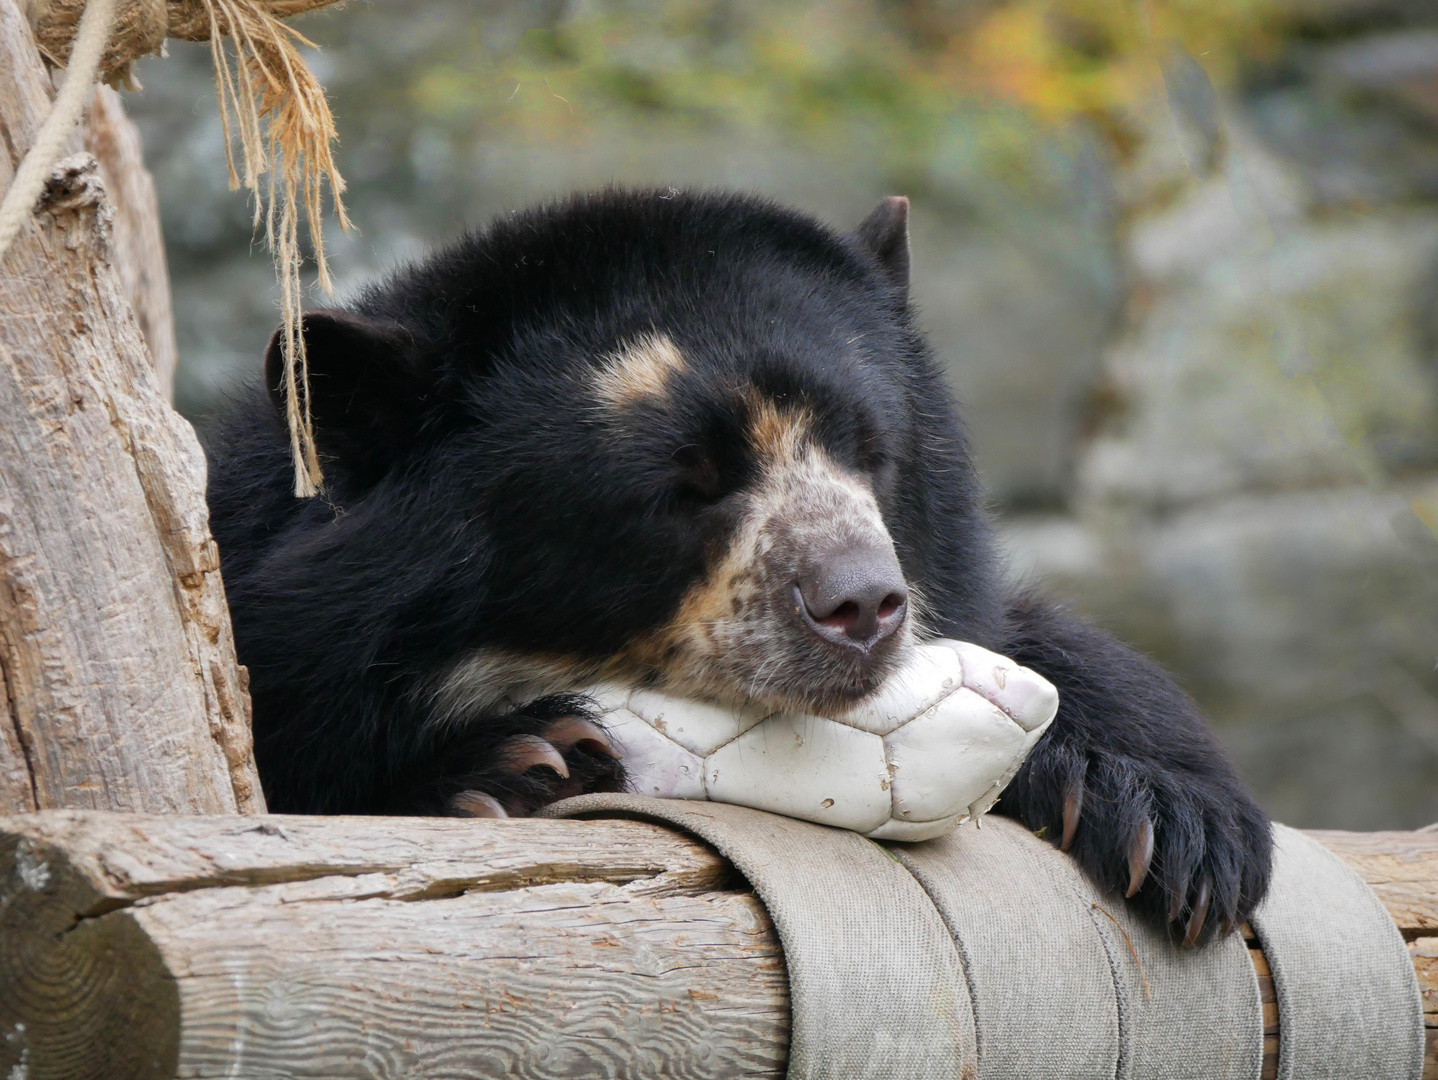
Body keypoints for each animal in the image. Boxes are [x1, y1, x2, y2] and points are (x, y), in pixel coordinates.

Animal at [205, 188, 1271, 943]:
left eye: (870, 451)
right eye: (683, 487)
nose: (862, 605)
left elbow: (1028, 636)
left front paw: (1172, 827)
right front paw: (515, 763)